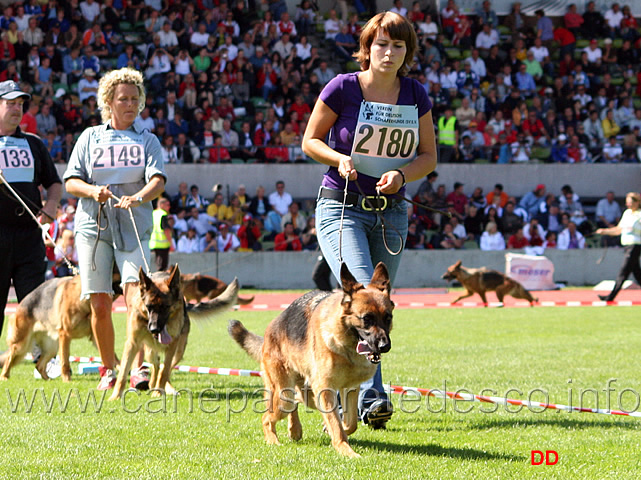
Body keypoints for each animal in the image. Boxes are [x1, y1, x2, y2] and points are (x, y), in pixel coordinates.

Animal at [109, 264, 239, 400]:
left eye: (166, 307)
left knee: (165, 369)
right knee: (156, 365)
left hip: (178, 351)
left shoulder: (172, 345)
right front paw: (115, 396)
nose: (154, 329)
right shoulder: (132, 343)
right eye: (149, 306)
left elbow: (165, 370)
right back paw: (152, 383)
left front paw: (158, 392)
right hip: (149, 352)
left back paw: (166, 388)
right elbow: (123, 372)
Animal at [228, 262, 392, 458]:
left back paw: (295, 430)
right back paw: (273, 441)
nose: (384, 346)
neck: (346, 348)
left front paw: (335, 430)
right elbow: (337, 425)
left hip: (304, 393)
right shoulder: (325, 389)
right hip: (284, 395)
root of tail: (270, 331)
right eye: (366, 318)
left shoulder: (349, 389)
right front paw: (346, 451)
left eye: (388, 318)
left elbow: (349, 423)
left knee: (297, 401)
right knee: (267, 417)